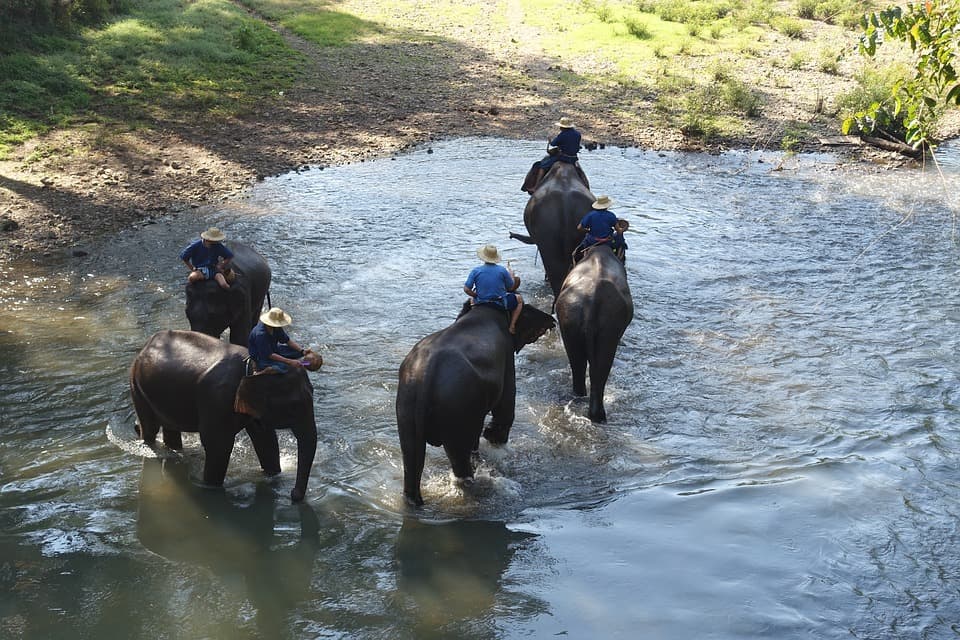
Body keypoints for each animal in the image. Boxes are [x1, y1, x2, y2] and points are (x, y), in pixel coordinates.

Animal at [129, 328, 318, 502]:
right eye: (294, 406)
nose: (293, 494)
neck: (252, 365)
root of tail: (147, 344)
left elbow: (265, 439)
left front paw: (274, 476)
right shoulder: (217, 399)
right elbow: (218, 445)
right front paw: (211, 488)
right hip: (137, 385)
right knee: (150, 429)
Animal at [394, 302, 556, 508]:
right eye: (528, 308)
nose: (553, 321)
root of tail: (426, 377)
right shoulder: (507, 358)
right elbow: (506, 402)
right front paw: (494, 441)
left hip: (406, 404)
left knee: (411, 455)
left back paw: (415, 502)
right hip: (456, 407)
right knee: (459, 458)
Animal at [552, 242, 632, 422]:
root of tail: (592, 303)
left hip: (570, 320)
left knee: (579, 363)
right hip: (609, 328)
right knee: (599, 368)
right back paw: (599, 416)